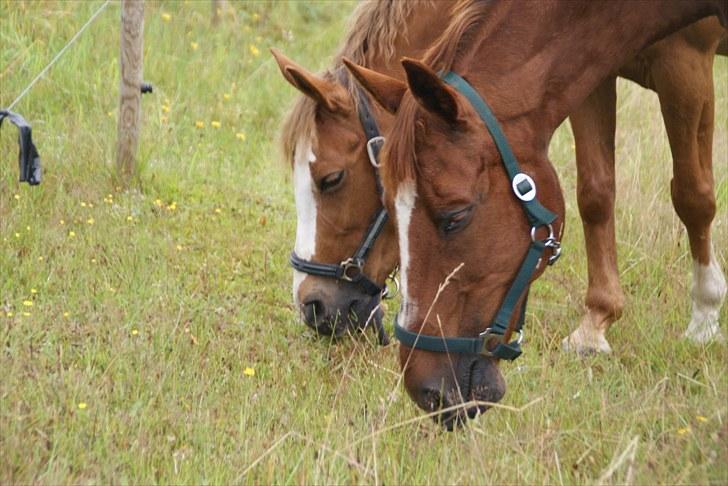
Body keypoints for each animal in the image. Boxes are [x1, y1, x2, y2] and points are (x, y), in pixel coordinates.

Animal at [344, 0, 727, 428]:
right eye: (389, 209)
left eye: (456, 215)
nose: (428, 391)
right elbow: (596, 192)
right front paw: (594, 328)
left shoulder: (687, 62)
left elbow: (692, 195)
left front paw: (705, 316)